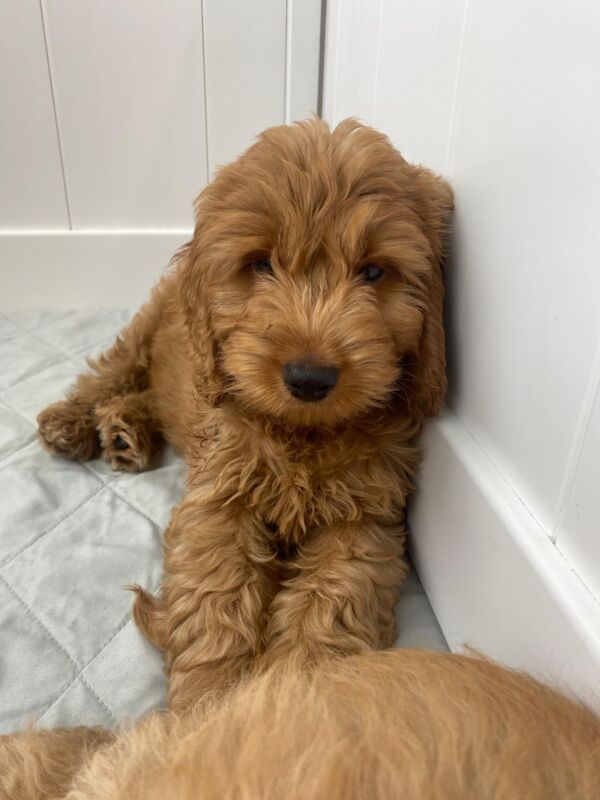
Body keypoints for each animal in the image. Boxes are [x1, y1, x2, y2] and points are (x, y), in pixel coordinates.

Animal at [36, 117, 450, 708]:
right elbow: (215, 597)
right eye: (260, 264)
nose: (309, 377)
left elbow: (330, 603)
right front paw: (210, 704)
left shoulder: (365, 520)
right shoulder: (217, 499)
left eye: (373, 271)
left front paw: (294, 697)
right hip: (149, 325)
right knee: (112, 370)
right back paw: (74, 424)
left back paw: (125, 431)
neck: (302, 435)